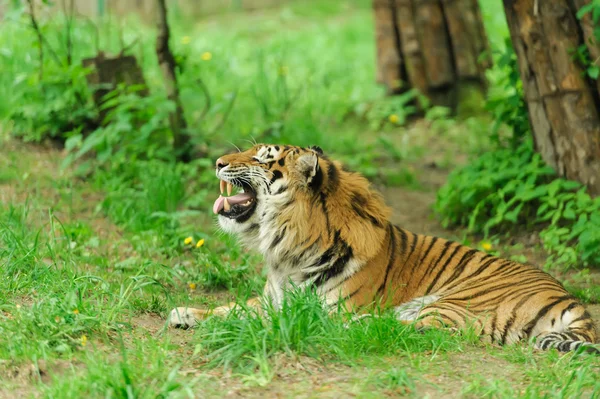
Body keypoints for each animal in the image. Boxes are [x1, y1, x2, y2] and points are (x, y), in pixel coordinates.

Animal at [171, 144, 596, 354]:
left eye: (263, 158)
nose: (218, 162)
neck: (285, 250)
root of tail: (568, 297)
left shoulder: (321, 303)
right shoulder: (271, 298)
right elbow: (231, 306)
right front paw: (185, 313)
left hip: (459, 301)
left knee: (425, 330)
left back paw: (357, 325)